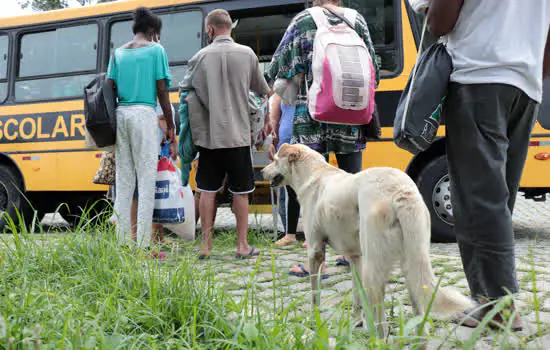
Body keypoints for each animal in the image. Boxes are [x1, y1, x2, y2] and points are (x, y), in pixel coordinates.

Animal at [264, 144, 474, 334]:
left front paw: (315, 319)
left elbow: (315, 294)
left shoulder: (315, 250)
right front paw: (357, 320)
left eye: (275, 159)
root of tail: (400, 190)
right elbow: (356, 294)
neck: (315, 174)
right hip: (412, 266)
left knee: (382, 324)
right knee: (419, 319)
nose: (262, 172)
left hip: (374, 269)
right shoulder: (356, 257)